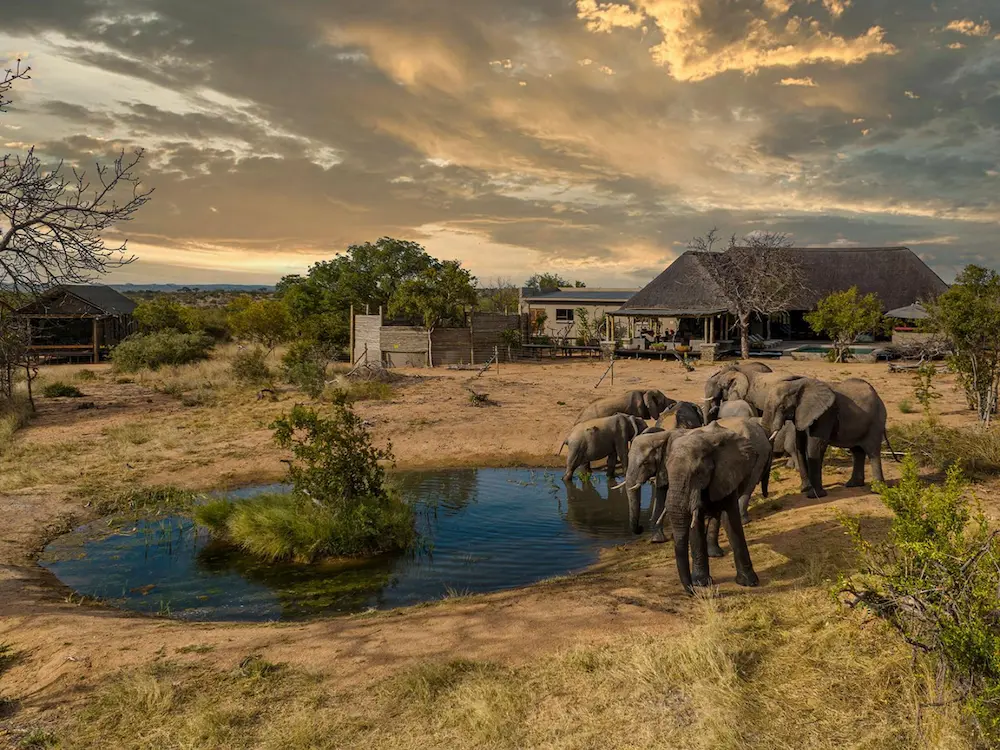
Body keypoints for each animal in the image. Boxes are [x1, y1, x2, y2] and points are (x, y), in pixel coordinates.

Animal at [664, 422, 762, 593]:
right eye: (667, 471)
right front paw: (701, 583)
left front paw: (749, 583)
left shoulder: (726, 474)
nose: (692, 592)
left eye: (697, 473)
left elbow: (730, 520)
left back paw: (715, 554)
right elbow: (696, 525)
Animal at [761, 377, 898, 499]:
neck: (796, 385)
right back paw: (853, 484)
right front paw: (804, 490)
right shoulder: (801, 415)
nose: (766, 496)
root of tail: (879, 397)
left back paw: (877, 490)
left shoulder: (825, 414)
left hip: (875, 423)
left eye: (782, 407)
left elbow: (815, 447)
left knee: (872, 451)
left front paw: (814, 496)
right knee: (857, 451)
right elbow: (799, 445)